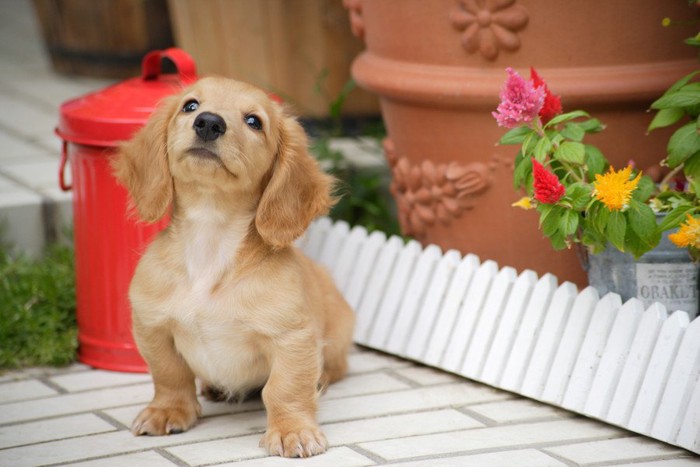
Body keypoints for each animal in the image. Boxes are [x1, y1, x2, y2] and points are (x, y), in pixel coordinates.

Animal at [115, 78, 358, 458]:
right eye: (190, 105)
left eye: (254, 121)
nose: (208, 123)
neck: (211, 240)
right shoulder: (151, 326)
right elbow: (169, 374)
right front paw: (168, 410)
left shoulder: (292, 337)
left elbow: (285, 388)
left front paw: (292, 430)